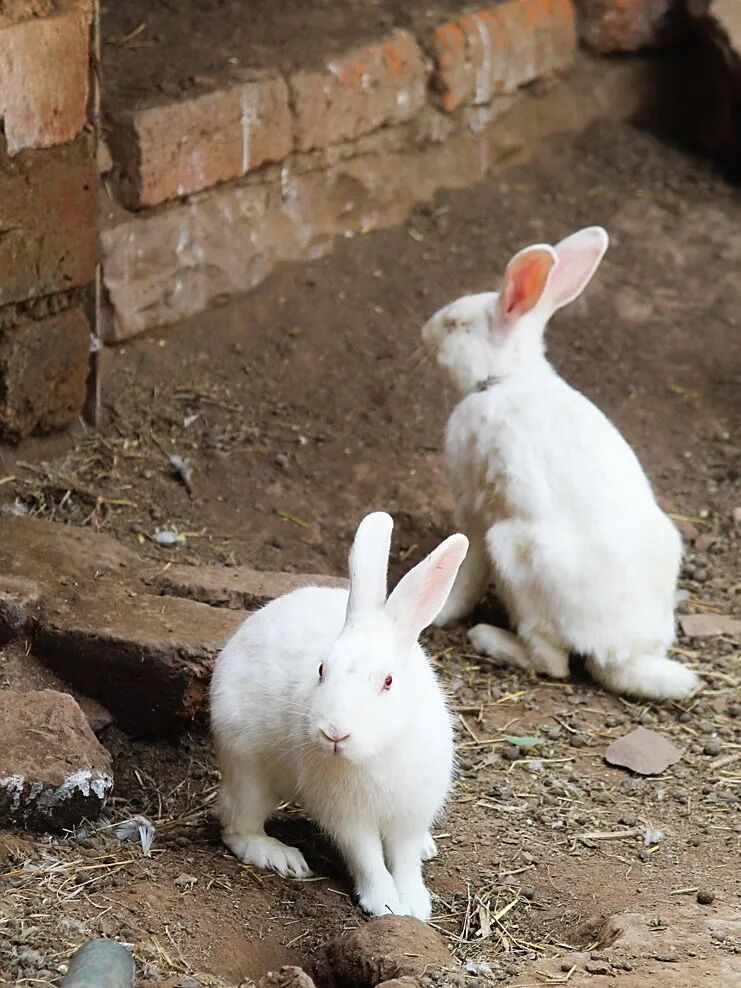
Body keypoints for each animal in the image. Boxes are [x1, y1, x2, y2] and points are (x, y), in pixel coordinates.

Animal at [210, 511, 468, 920]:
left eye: (388, 681)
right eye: (321, 670)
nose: (334, 733)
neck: (378, 752)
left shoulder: (410, 812)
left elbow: (406, 858)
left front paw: (415, 904)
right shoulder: (349, 818)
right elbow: (368, 859)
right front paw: (386, 905)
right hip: (247, 768)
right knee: (238, 827)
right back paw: (281, 857)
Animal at [421, 226, 699, 701]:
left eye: (457, 324)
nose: (426, 332)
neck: (506, 378)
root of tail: (619, 653)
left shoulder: (474, 508)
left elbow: (467, 567)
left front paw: (444, 613)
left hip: (512, 554)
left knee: (552, 663)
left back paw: (489, 639)